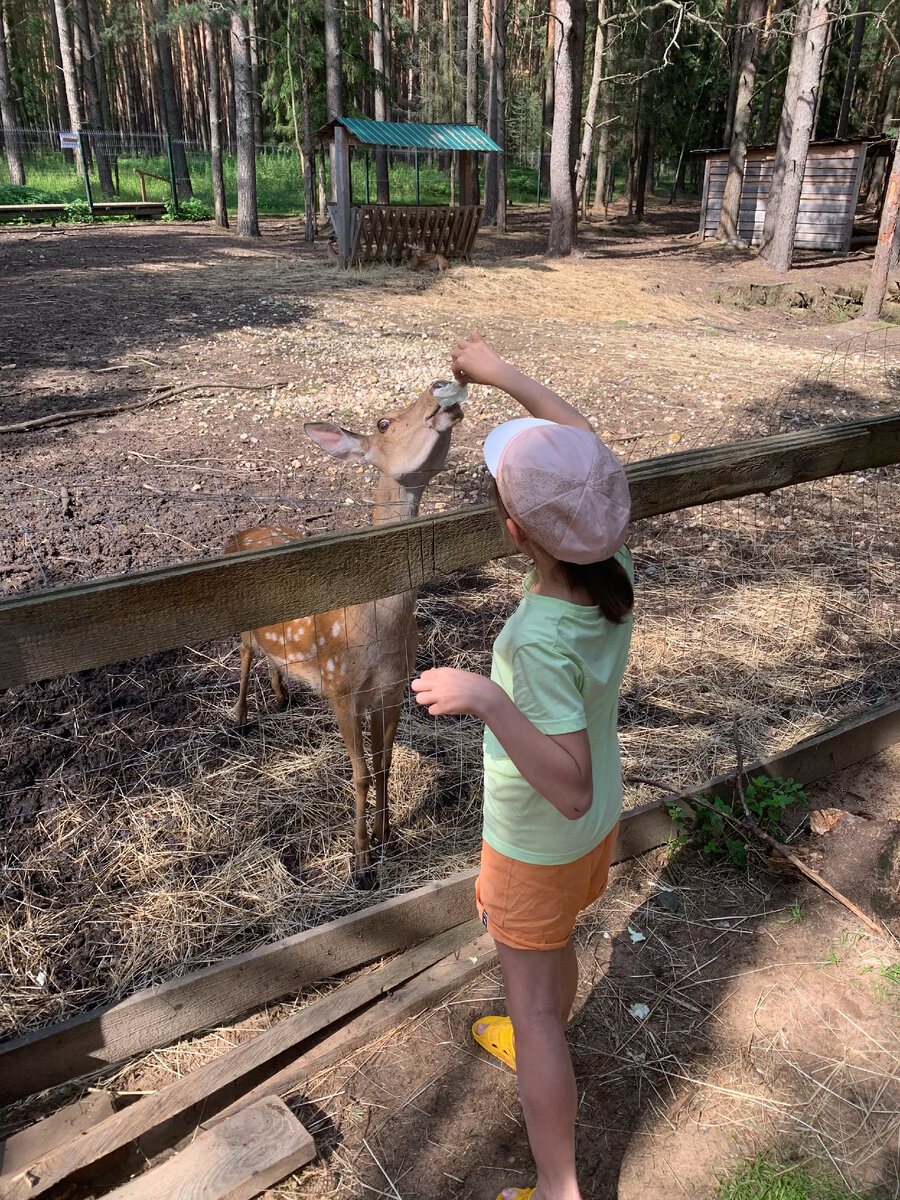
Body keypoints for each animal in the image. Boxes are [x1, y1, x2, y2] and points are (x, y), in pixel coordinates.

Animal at [224, 379, 465, 888]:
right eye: (383, 422)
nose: (440, 387)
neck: (374, 628)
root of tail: (240, 533)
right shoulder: (340, 688)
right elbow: (358, 773)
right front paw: (359, 861)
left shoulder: (392, 688)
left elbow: (385, 765)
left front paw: (388, 839)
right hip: (241, 619)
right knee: (244, 653)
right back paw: (238, 718)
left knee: (270, 656)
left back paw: (281, 696)